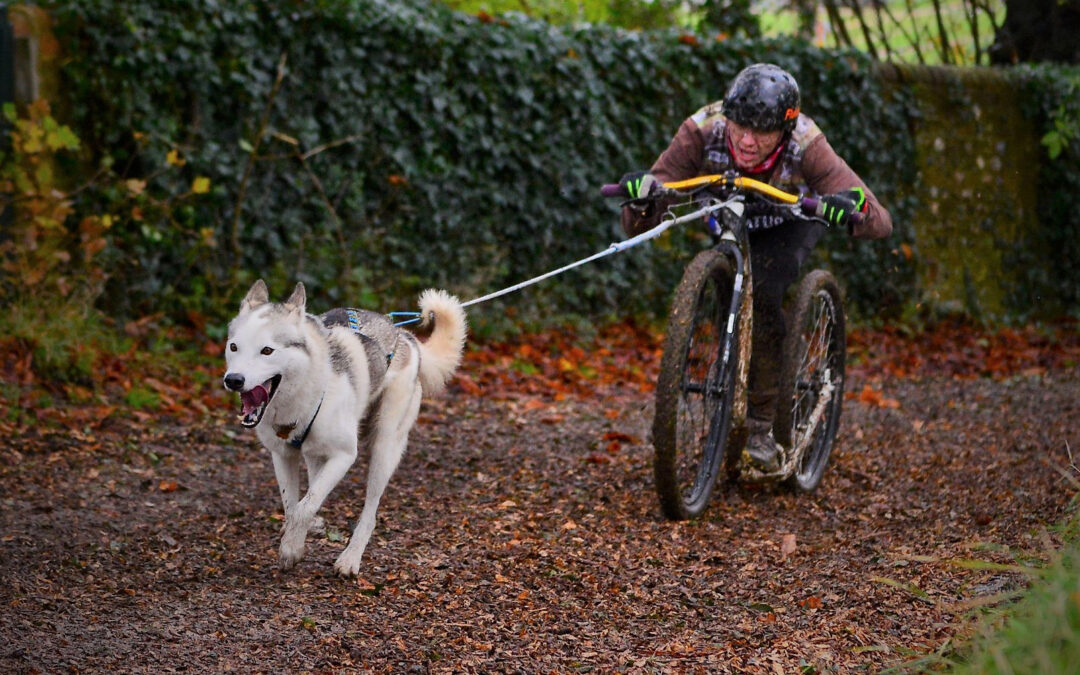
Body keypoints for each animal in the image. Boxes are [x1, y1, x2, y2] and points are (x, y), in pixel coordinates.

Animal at [223, 278, 464, 574]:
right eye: (234, 347)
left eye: (267, 350)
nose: (233, 380)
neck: (305, 393)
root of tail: (405, 336)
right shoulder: (283, 455)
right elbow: (294, 505)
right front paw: (296, 540)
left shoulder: (344, 456)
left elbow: (304, 507)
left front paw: (291, 549)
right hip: (316, 455)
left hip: (384, 448)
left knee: (370, 512)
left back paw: (350, 558)